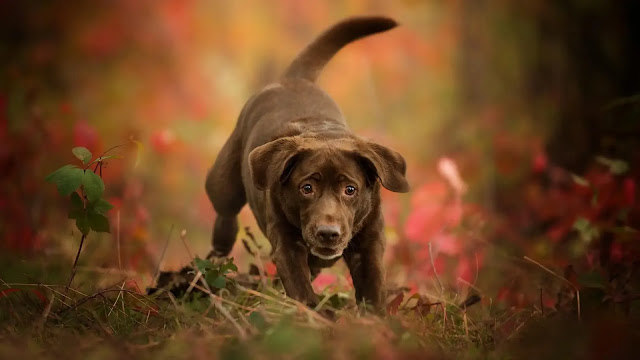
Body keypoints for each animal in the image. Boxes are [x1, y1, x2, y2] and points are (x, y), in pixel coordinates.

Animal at [206, 16, 410, 310]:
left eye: (350, 189)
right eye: (306, 188)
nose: (328, 233)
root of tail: (294, 78)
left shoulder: (369, 243)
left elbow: (372, 287)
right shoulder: (286, 245)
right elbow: (301, 288)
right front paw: (316, 314)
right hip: (224, 184)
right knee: (225, 212)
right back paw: (217, 255)